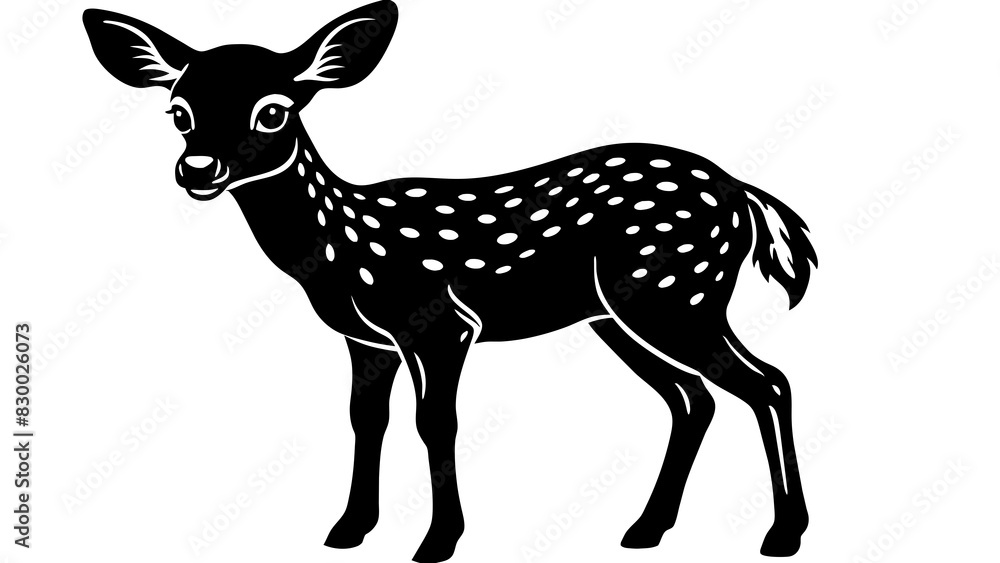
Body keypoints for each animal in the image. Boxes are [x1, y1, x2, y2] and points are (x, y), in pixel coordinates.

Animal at [83, 2, 817, 561]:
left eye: (274, 110)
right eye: (179, 111)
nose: (197, 169)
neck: (340, 248)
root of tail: (743, 194)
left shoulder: (438, 320)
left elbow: (436, 421)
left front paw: (438, 541)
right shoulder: (366, 339)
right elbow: (366, 418)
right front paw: (349, 529)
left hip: (677, 292)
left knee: (766, 382)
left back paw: (782, 534)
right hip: (621, 314)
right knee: (694, 398)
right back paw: (645, 529)